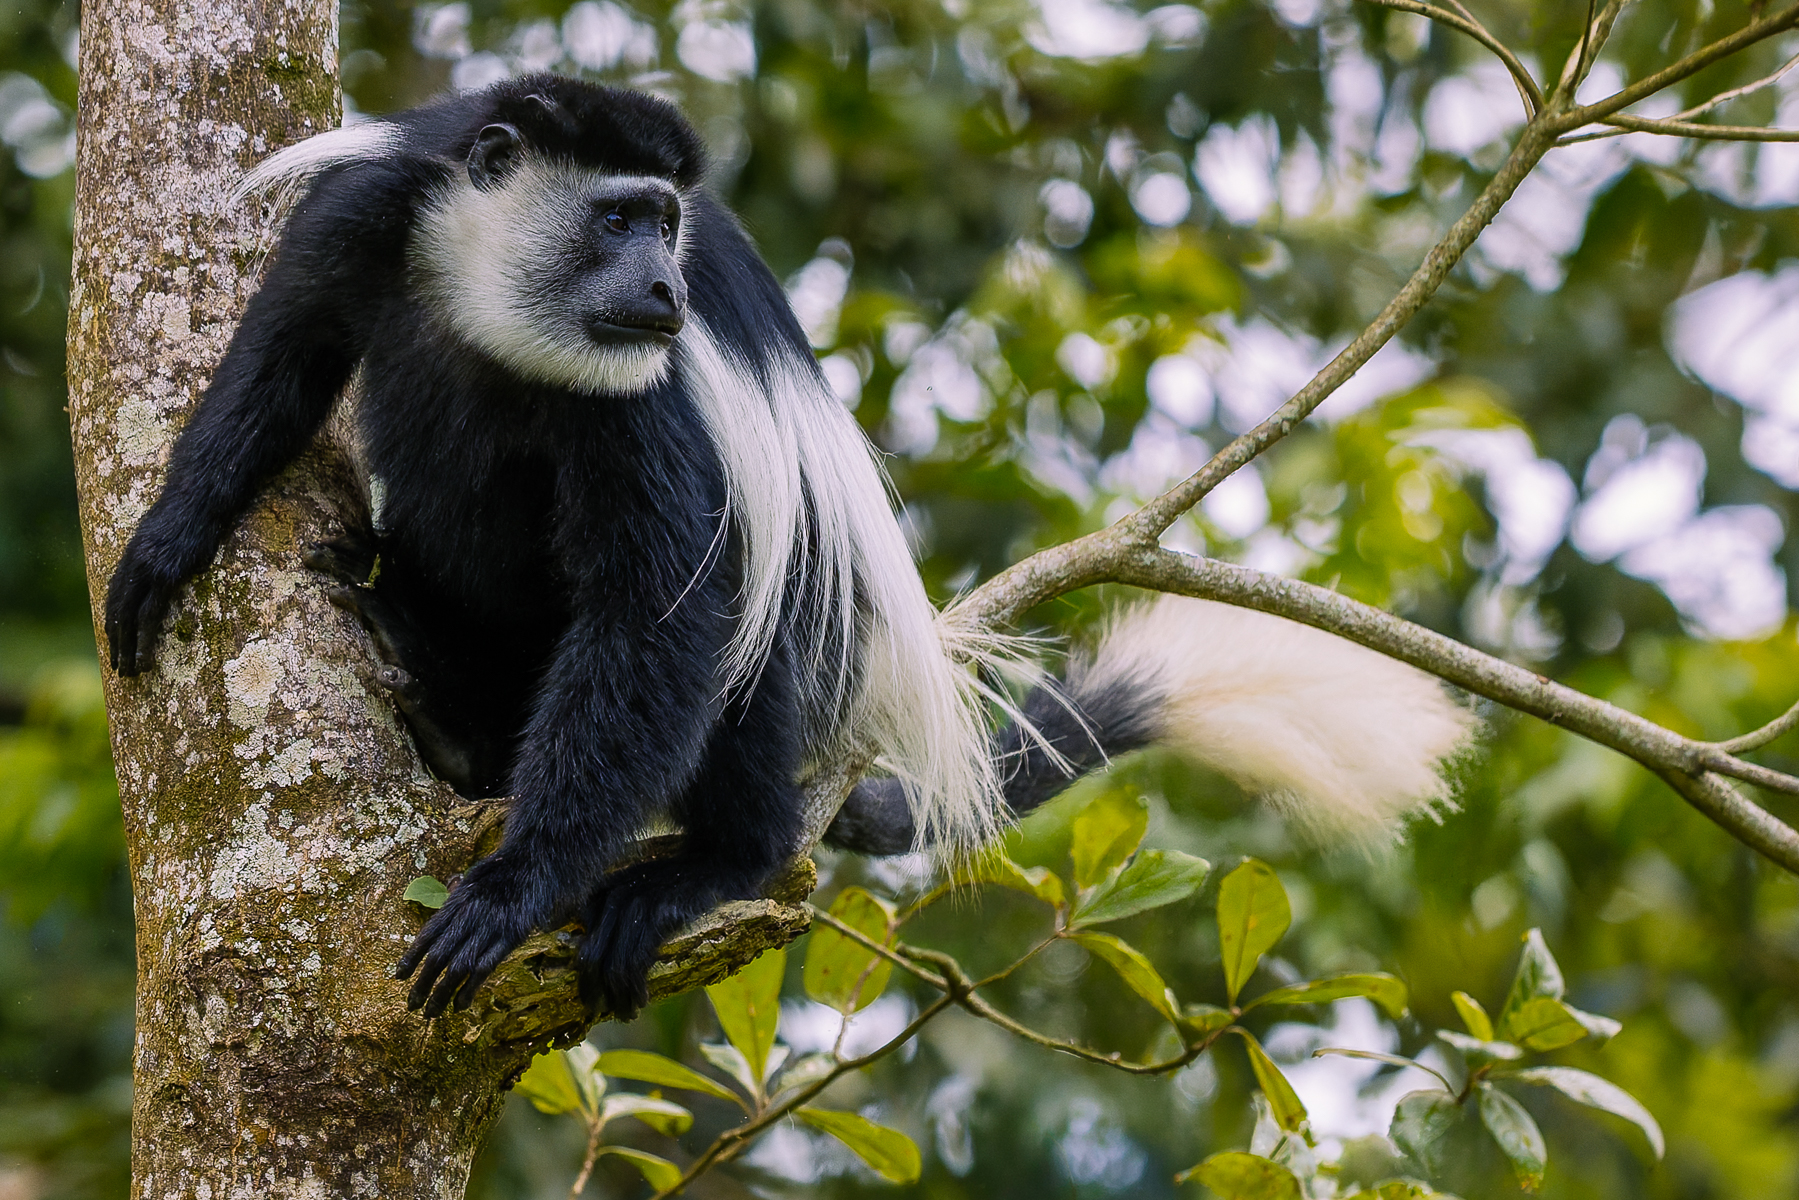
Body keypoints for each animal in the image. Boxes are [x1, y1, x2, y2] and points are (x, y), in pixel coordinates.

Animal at [104, 75, 1474, 1021]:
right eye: (618, 218)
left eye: (666, 227)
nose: (664, 286)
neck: (484, 297)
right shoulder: (367, 216)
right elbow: (280, 362)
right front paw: (161, 550)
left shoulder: (640, 397)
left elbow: (658, 613)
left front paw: (512, 891)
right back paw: (435, 685)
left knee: (749, 645)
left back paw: (708, 861)